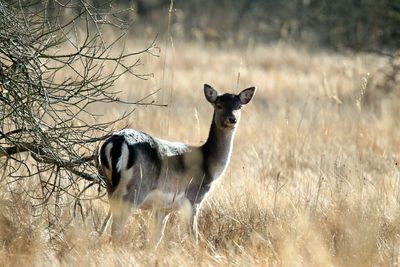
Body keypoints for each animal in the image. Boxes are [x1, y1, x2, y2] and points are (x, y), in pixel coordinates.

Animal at [97, 84, 256, 245]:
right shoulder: (193, 198)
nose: (232, 119)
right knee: (117, 228)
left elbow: (156, 238)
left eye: (239, 106)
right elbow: (192, 235)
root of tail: (116, 143)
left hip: (109, 185)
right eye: (219, 105)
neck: (209, 166)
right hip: (135, 189)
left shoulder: (163, 208)